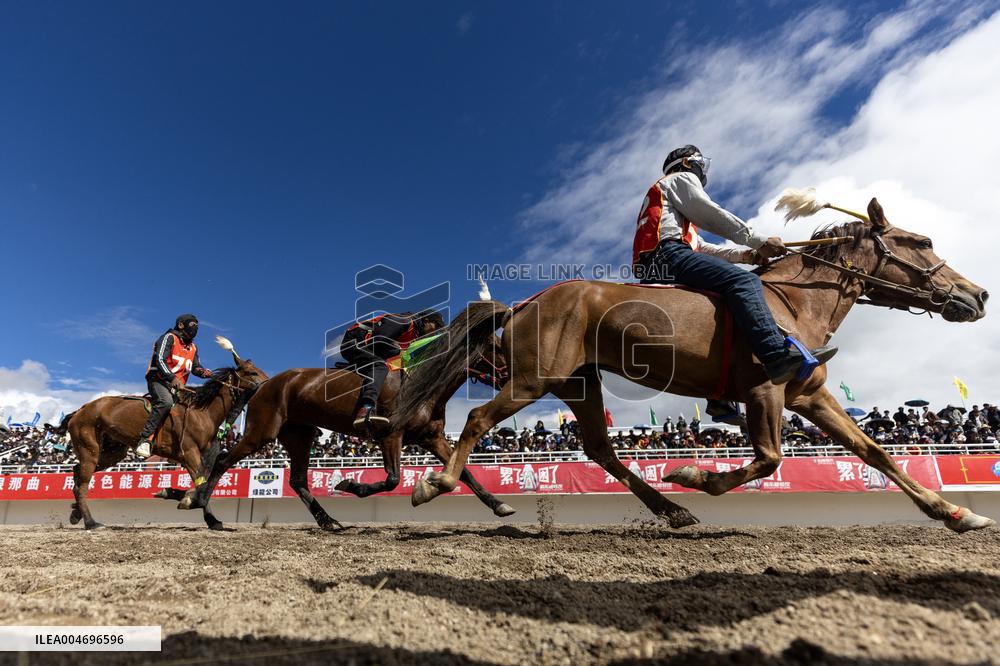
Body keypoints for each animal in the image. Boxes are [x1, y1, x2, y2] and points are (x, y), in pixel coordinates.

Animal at [48, 352, 268, 530]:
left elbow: (204, 483)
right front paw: (201, 511)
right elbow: (202, 484)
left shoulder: (200, 456)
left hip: (112, 453)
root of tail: (80, 410)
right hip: (90, 449)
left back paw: (77, 513)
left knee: (77, 474)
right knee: (82, 485)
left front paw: (188, 502)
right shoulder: (190, 454)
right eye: (252, 372)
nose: (268, 383)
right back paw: (91, 522)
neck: (202, 412)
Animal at [184, 335, 514, 528]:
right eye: (498, 347)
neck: (423, 381)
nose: (511, 375)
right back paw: (204, 509)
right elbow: (392, 480)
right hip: (261, 432)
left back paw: (328, 520)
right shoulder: (390, 435)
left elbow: (464, 472)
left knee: (298, 480)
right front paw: (349, 485)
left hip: (299, 436)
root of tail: (262, 384)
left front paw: (499, 505)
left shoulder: (430, 437)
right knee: (223, 460)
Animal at [392, 197, 994, 533]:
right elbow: (770, 459)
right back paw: (435, 484)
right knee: (476, 420)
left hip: (577, 384)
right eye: (922, 241)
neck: (794, 301)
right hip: (531, 379)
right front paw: (692, 473)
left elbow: (875, 452)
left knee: (601, 449)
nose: (979, 294)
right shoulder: (766, 390)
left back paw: (671, 511)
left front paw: (955, 513)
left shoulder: (810, 395)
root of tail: (524, 303)